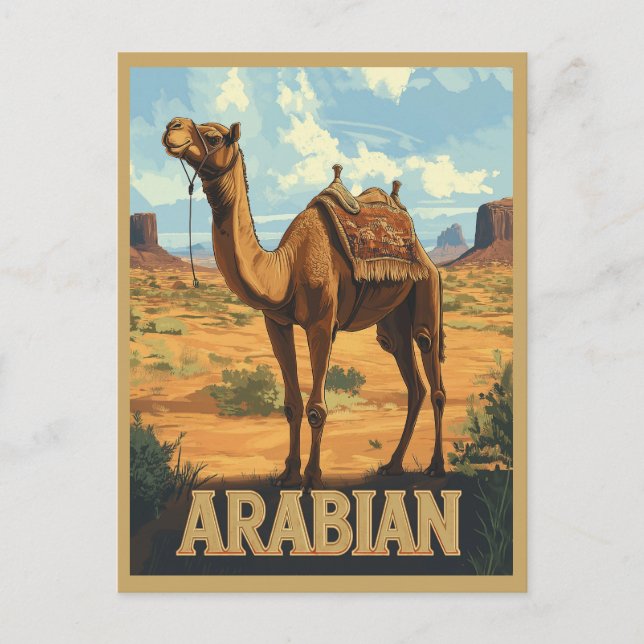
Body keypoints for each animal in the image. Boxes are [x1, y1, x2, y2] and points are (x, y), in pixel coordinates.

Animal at [162, 117, 446, 491]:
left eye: (213, 137)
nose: (172, 127)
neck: (286, 268)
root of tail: (423, 253)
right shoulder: (276, 323)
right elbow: (292, 405)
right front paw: (288, 474)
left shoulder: (322, 324)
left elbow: (316, 408)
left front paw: (312, 478)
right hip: (393, 321)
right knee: (414, 384)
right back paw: (393, 465)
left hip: (427, 288)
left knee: (432, 368)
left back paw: (436, 466)